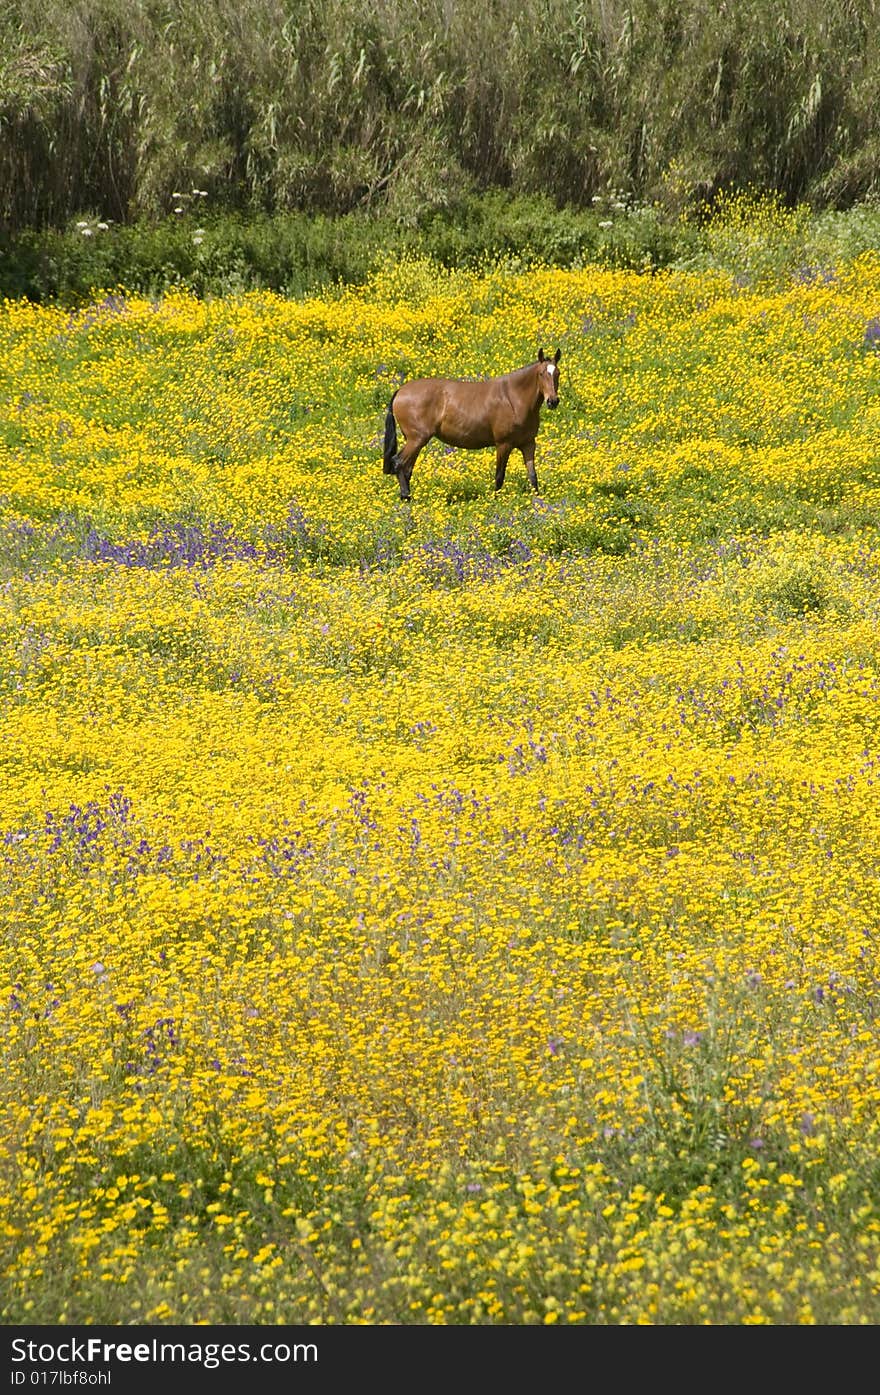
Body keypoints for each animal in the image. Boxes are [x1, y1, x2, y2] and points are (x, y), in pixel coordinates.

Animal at [382, 348, 560, 502]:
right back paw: (406, 497)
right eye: (541, 374)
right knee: (399, 463)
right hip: (417, 439)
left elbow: (533, 476)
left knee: (407, 468)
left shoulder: (528, 444)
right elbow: (499, 476)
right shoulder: (503, 444)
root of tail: (400, 391)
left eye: (557, 373)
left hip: (415, 441)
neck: (513, 398)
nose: (553, 401)